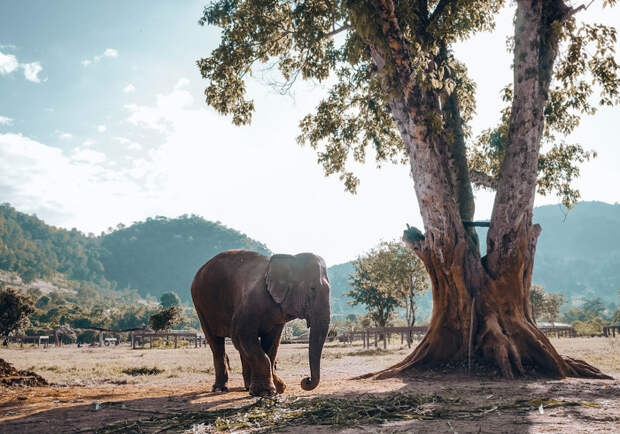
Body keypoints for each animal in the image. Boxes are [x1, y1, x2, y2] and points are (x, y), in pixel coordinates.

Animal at [191, 249, 332, 396]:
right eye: (312, 288)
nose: (306, 379)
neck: (289, 259)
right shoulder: (249, 305)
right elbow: (240, 335)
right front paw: (267, 391)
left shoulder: (277, 315)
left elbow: (272, 343)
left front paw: (278, 387)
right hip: (200, 305)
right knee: (216, 344)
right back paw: (220, 388)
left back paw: (247, 387)